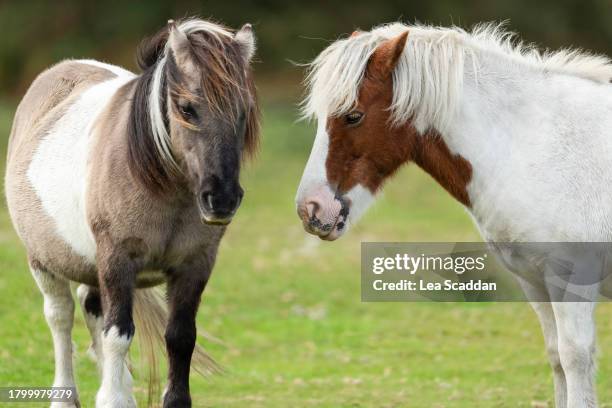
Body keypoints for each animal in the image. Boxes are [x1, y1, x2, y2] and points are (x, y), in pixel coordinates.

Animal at [5, 17, 258, 406]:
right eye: (186, 108)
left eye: (243, 109)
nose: (222, 198)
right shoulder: (117, 260)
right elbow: (118, 335)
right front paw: (113, 398)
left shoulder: (194, 266)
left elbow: (180, 336)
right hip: (44, 261)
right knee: (61, 318)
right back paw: (65, 395)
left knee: (91, 308)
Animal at [296, 23, 612, 408]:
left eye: (353, 115)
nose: (311, 208)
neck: (534, 146)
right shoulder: (535, 280)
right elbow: (556, 357)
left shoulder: (572, 278)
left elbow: (575, 357)